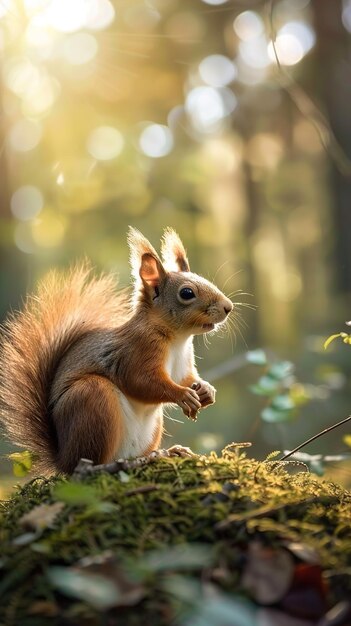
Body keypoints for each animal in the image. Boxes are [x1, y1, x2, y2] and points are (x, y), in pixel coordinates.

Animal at [0, 228, 234, 472]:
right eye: (187, 293)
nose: (228, 307)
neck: (177, 339)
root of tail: (62, 460)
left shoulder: (183, 362)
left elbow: (186, 378)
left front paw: (206, 390)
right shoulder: (137, 349)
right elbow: (140, 381)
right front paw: (183, 395)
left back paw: (163, 453)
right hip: (91, 399)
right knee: (91, 463)